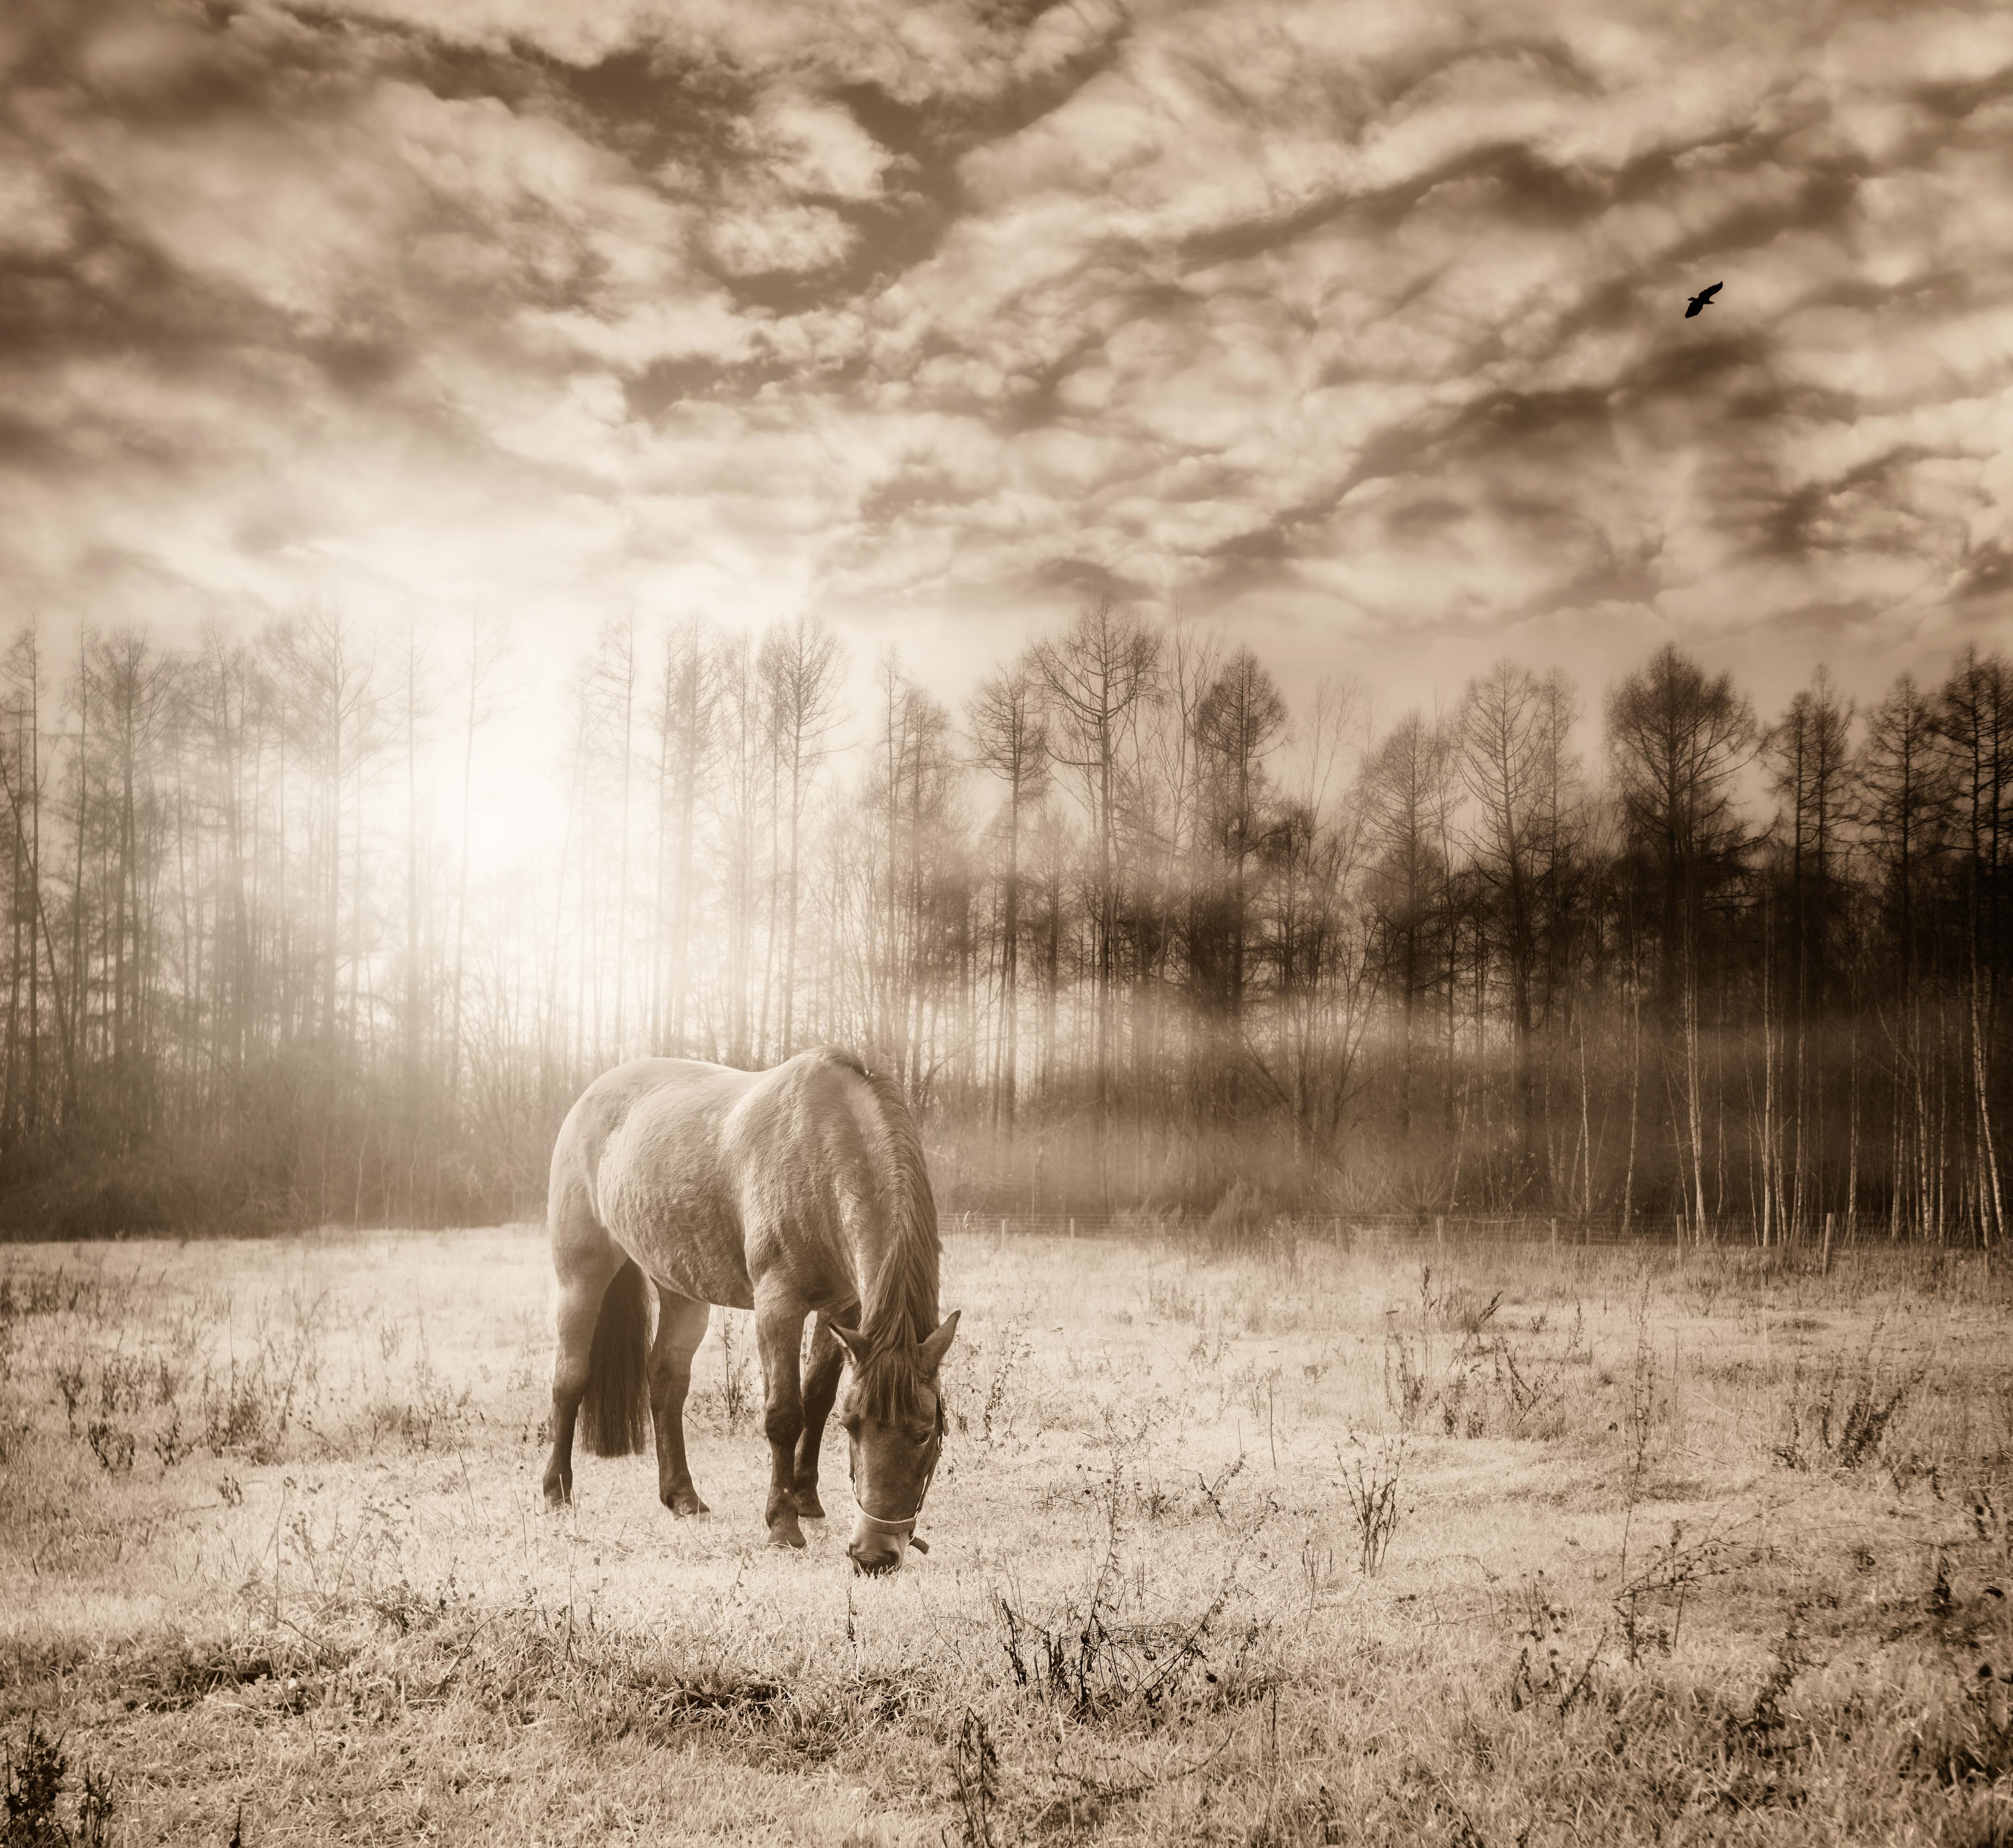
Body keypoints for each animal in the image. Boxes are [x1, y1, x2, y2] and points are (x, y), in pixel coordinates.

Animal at [543, 1055, 958, 1578]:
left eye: (925, 1433)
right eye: (854, 1427)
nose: (873, 1555)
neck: (821, 1144)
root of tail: (590, 1095)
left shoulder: (843, 1308)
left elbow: (816, 1399)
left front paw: (807, 1499)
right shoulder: (778, 1306)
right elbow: (784, 1413)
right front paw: (782, 1524)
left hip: (680, 1289)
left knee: (666, 1381)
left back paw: (683, 1496)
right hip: (580, 1276)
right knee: (570, 1379)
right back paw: (556, 1491)